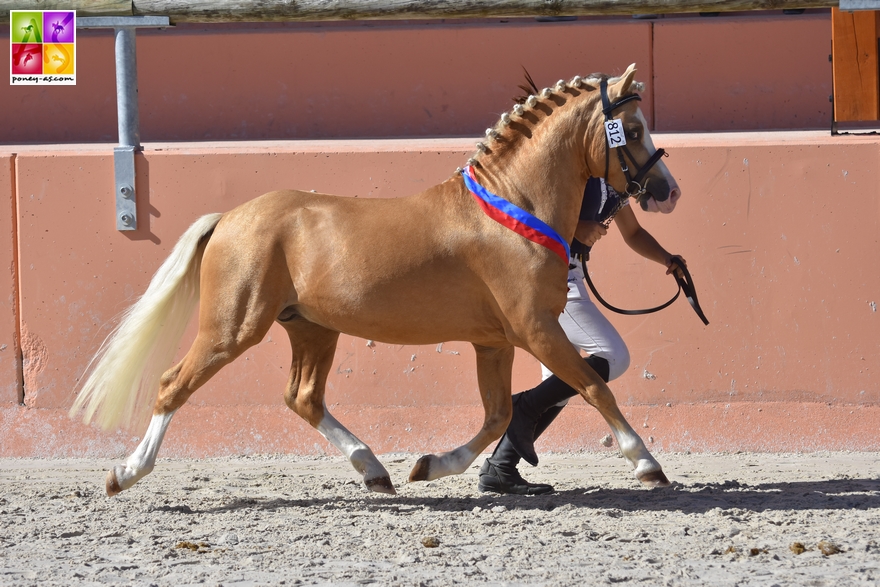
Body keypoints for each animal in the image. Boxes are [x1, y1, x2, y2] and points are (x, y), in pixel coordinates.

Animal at [74, 63, 680, 496]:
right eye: (633, 129)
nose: (666, 191)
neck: (510, 208)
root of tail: (229, 218)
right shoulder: (534, 329)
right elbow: (593, 386)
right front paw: (646, 464)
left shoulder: (495, 341)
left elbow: (499, 414)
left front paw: (430, 465)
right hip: (233, 329)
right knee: (173, 385)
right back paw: (124, 473)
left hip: (312, 329)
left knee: (304, 398)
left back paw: (374, 470)